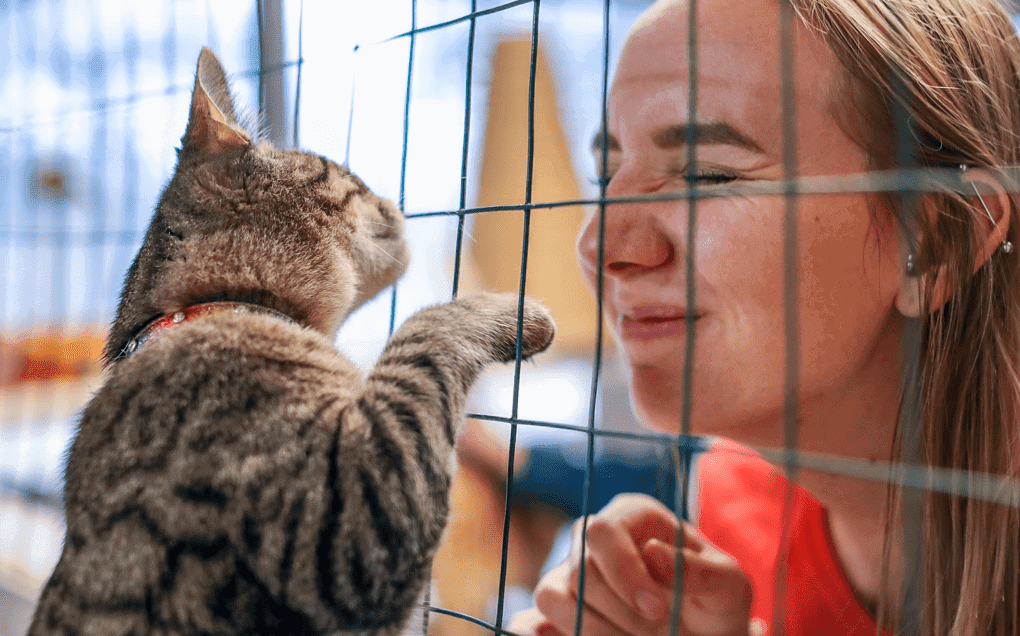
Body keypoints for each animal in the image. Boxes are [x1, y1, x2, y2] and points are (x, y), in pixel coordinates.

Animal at [29, 48, 558, 636]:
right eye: (351, 177)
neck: (211, 311)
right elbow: (424, 332)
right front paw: (515, 313)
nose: (394, 204)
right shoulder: (354, 519)